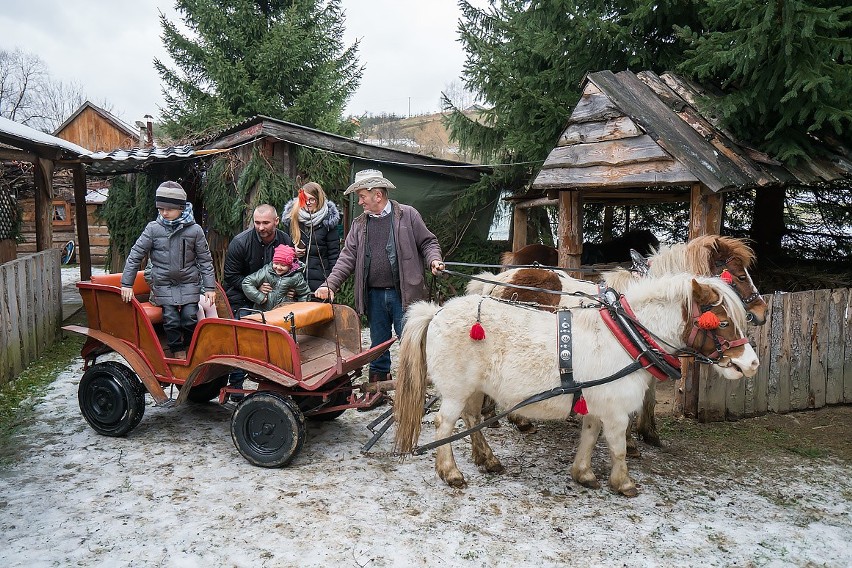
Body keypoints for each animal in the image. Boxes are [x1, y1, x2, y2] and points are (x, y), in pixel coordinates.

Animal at [392, 272, 760, 494]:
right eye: (722, 322)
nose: (752, 364)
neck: (627, 336)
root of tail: (437, 312)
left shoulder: (597, 404)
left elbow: (590, 435)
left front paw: (583, 473)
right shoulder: (616, 409)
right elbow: (617, 446)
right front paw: (624, 482)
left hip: (475, 388)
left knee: (471, 418)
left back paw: (488, 459)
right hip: (455, 389)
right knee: (444, 424)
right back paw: (450, 471)